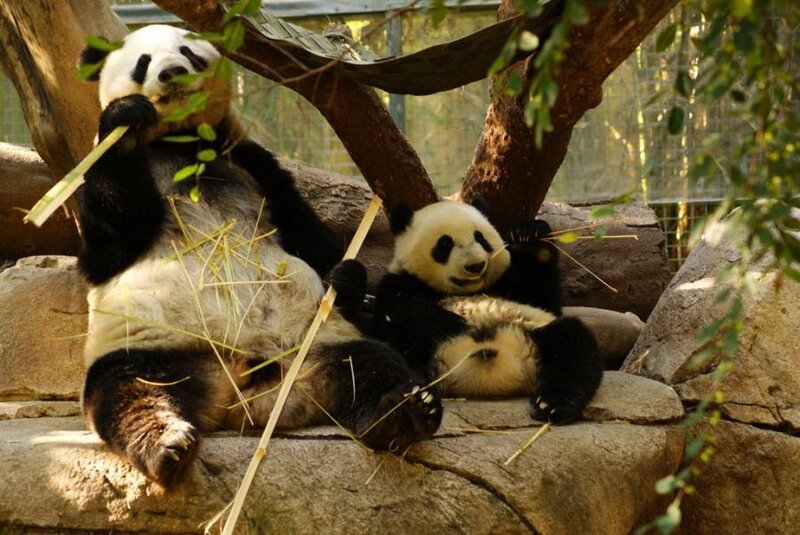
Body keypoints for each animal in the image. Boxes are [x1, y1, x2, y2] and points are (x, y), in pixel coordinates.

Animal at [75, 24, 441, 489]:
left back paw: (405, 413)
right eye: (143, 62)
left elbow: (307, 234)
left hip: (314, 344)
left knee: (371, 365)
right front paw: (126, 118)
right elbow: (108, 246)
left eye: (187, 51)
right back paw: (167, 446)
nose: (172, 72)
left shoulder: (253, 162)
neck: (184, 145)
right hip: (151, 348)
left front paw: (346, 279)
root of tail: (244, 397)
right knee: (128, 391)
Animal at [331, 200, 602, 423]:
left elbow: (544, 299)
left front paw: (529, 236)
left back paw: (552, 404)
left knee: (572, 344)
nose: (476, 266)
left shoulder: (513, 286)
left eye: (480, 238)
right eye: (445, 244)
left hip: (533, 334)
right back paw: (416, 403)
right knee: (381, 356)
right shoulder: (398, 284)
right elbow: (396, 316)